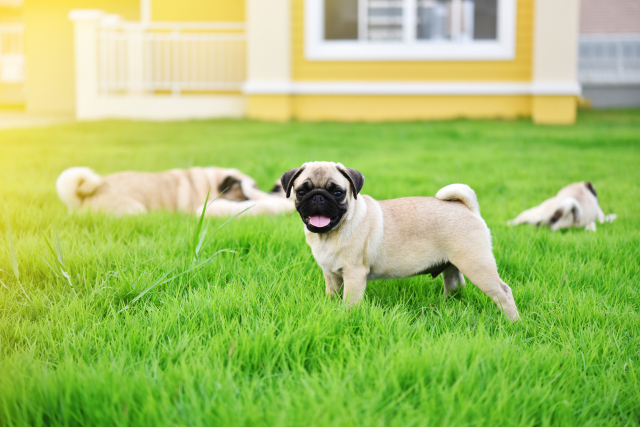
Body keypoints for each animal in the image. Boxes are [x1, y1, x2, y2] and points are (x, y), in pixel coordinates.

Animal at [282, 161, 520, 320]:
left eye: (338, 192)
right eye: (301, 191)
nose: (318, 197)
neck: (329, 234)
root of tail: (467, 207)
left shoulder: (354, 275)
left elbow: (350, 302)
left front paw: (348, 317)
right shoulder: (331, 275)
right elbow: (332, 295)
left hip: (476, 265)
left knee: (503, 293)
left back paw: (512, 322)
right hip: (452, 265)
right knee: (454, 284)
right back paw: (445, 304)